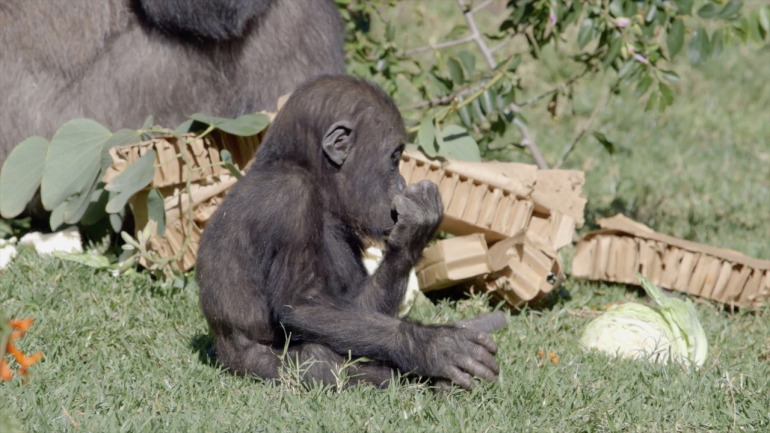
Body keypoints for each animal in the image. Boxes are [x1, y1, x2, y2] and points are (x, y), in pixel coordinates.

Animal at [195, 74, 500, 388]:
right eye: (394, 158)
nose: (402, 183)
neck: (312, 176)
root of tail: (223, 358)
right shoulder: (292, 197)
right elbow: (301, 304)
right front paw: (432, 346)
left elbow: (357, 306)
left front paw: (412, 232)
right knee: (318, 360)